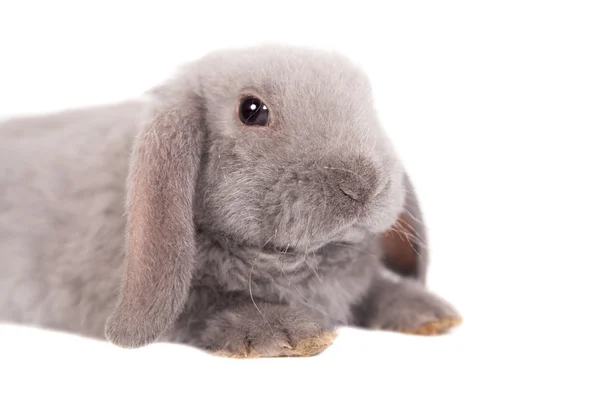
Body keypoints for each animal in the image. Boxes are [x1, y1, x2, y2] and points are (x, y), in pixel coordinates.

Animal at [0, 45, 462, 358]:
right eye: (252, 110)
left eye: (368, 104)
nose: (363, 183)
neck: (295, 262)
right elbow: (209, 304)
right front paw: (289, 333)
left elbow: (375, 289)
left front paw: (429, 313)